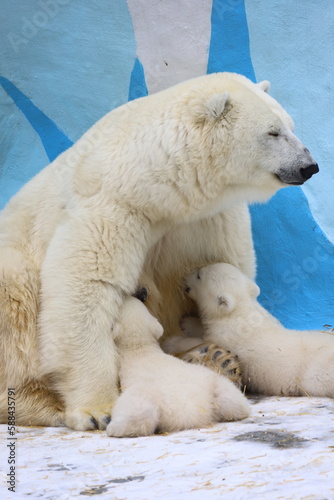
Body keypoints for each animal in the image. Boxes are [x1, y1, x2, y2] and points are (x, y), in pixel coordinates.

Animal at [105, 296, 249, 438]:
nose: (136, 295)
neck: (140, 348)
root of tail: (189, 412)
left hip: (144, 395)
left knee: (139, 414)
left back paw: (114, 428)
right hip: (212, 382)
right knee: (232, 400)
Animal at [181, 264, 334, 396]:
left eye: (199, 275)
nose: (185, 277)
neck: (240, 309)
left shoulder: (227, 334)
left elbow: (206, 339)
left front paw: (187, 324)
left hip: (316, 372)